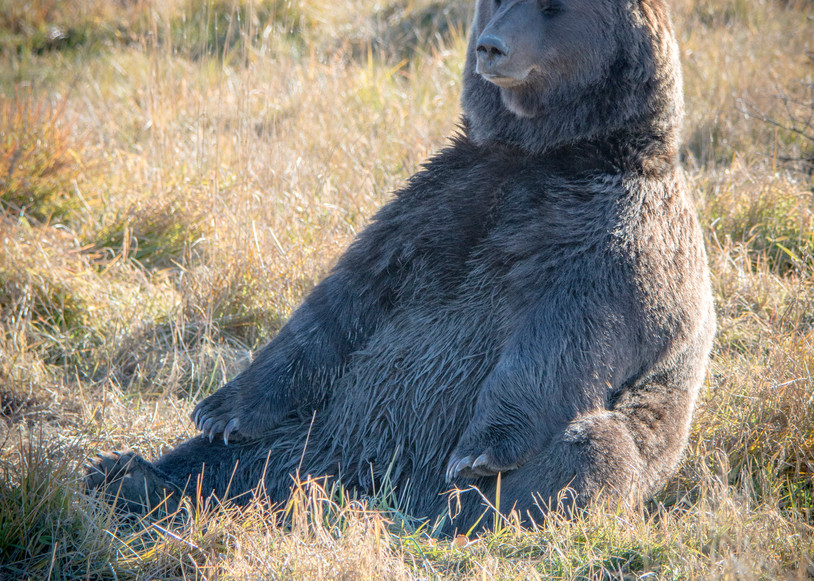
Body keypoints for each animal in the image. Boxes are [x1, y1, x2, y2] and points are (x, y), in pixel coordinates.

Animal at [87, 0, 716, 533]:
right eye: (496, 2)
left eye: (550, 6)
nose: (491, 47)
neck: (550, 151)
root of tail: (374, 487)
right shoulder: (439, 206)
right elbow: (341, 303)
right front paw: (220, 411)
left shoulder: (607, 233)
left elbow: (564, 335)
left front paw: (478, 451)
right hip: (320, 428)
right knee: (240, 462)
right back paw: (128, 476)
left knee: (586, 450)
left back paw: (464, 519)